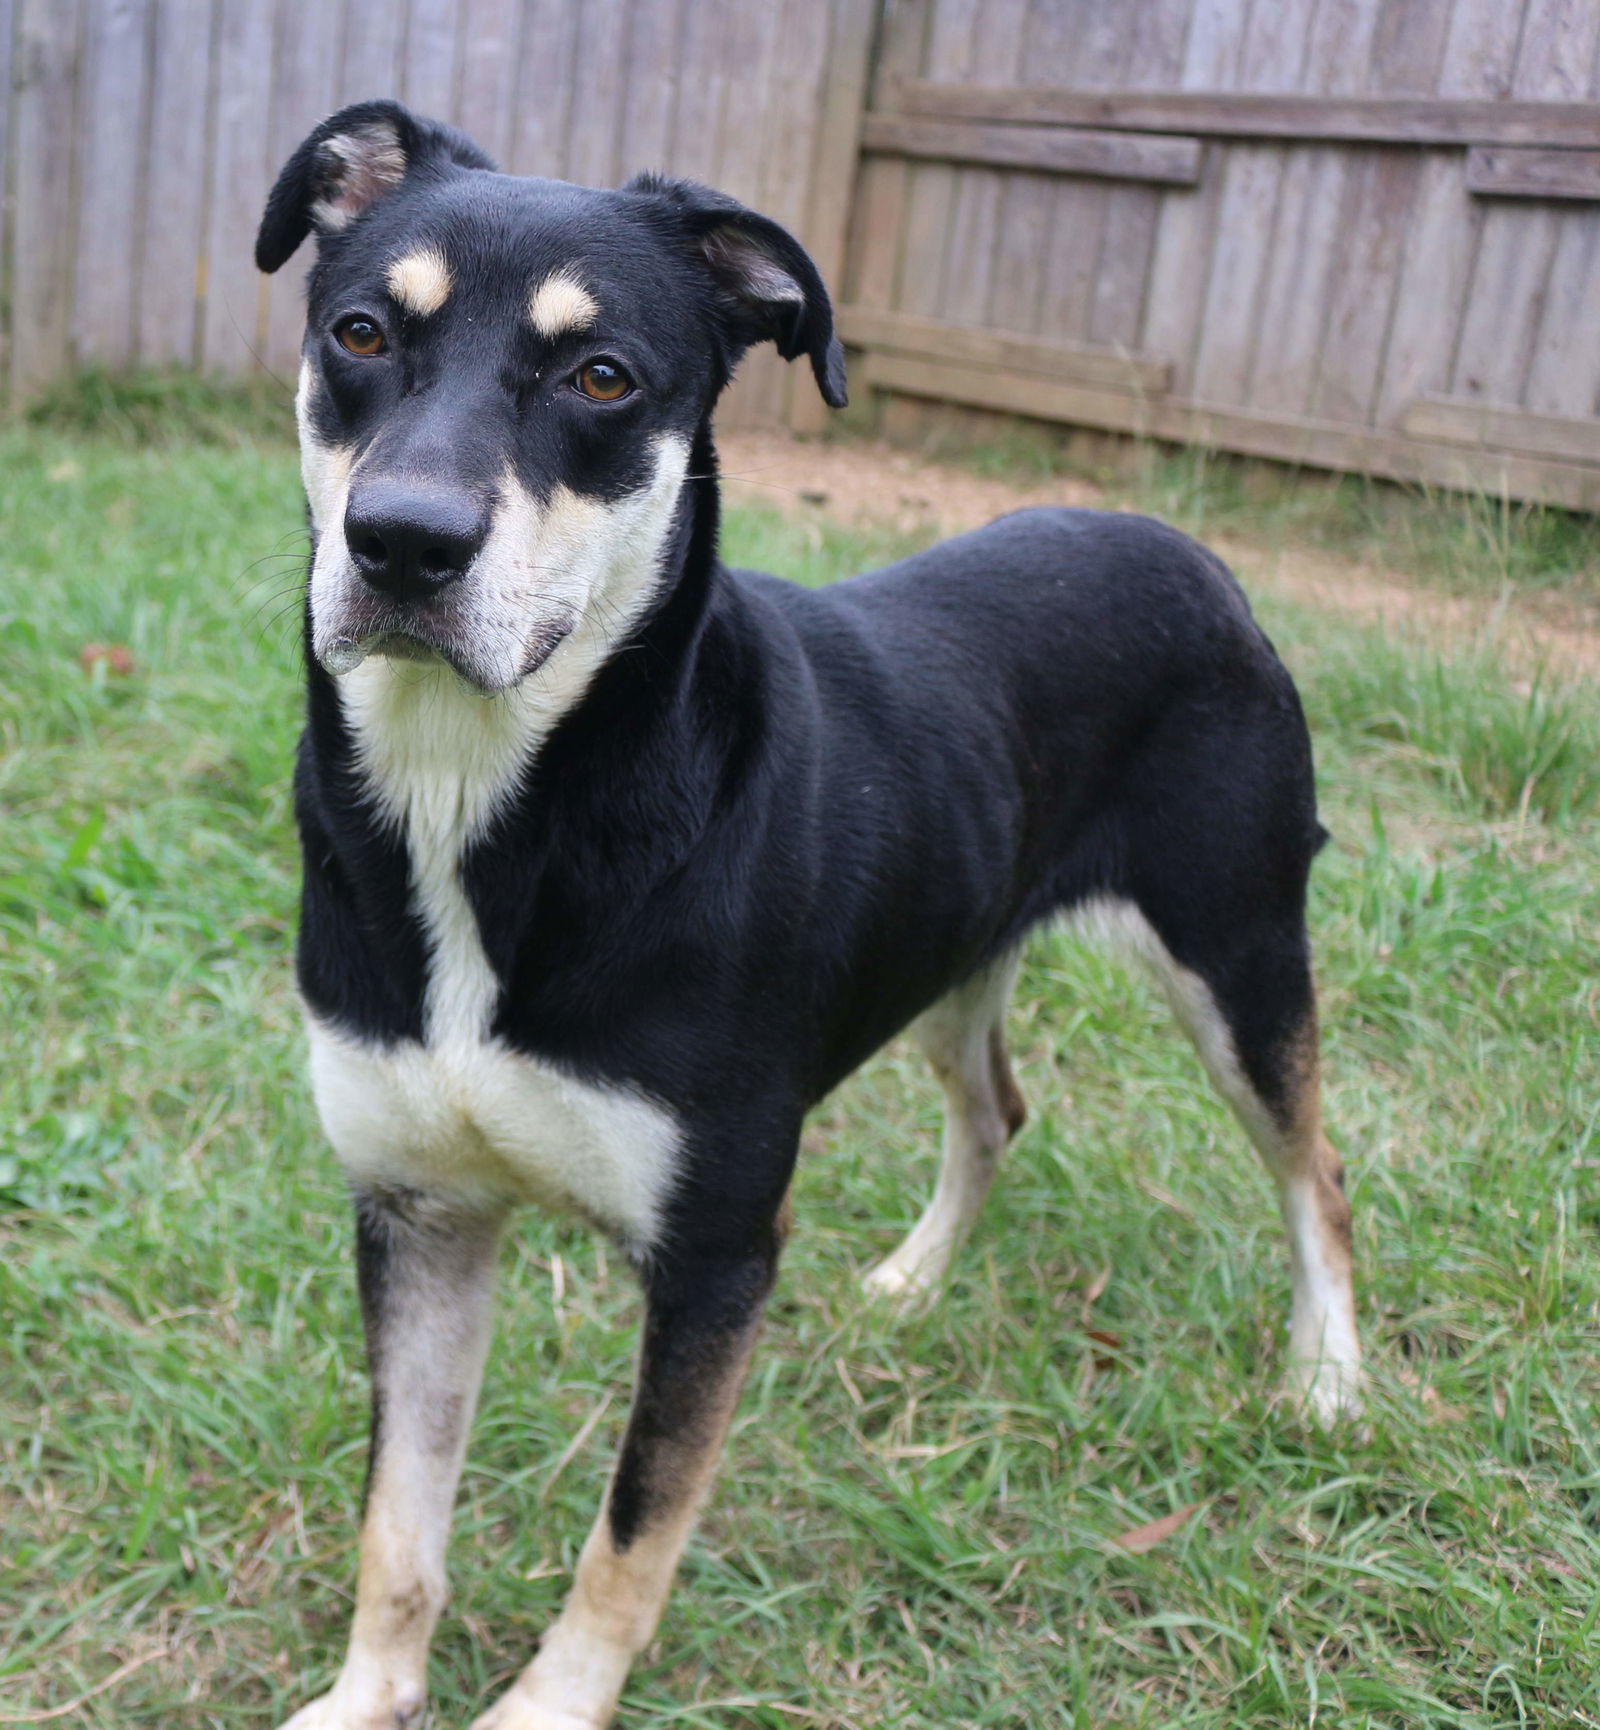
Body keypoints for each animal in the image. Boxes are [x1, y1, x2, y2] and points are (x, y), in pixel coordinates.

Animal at [252, 101, 1363, 1730]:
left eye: (601, 377)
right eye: (360, 331)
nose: (402, 540)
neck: (487, 805)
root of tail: (1189, 550)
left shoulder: (715, 1257)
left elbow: (633, 1529)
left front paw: (549, 1703)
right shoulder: (419, 1208)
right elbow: (401, 1513)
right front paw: (367, 1696)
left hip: (1237, 954)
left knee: (1313, 1170)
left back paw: (1331, 1378)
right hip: (959, 953)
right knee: (997, 1105)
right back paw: (914, 1277)